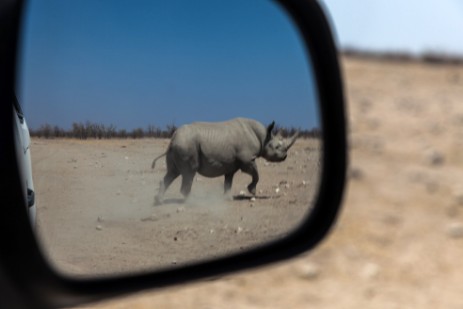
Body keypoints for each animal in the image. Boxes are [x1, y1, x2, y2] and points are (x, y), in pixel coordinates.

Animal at [150, 116, 300, 203]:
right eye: (277, 147)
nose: (285, 157)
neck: (263, 136)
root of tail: (172, 138)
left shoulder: (231, 164)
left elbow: (228, 180)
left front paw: (228, 198)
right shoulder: (247, 159)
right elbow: (256, 174)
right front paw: (252, 191)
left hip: (180, 145)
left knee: (173, 173)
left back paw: (158, 201)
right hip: (186, 145)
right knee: (189, 172)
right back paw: (193, 202)